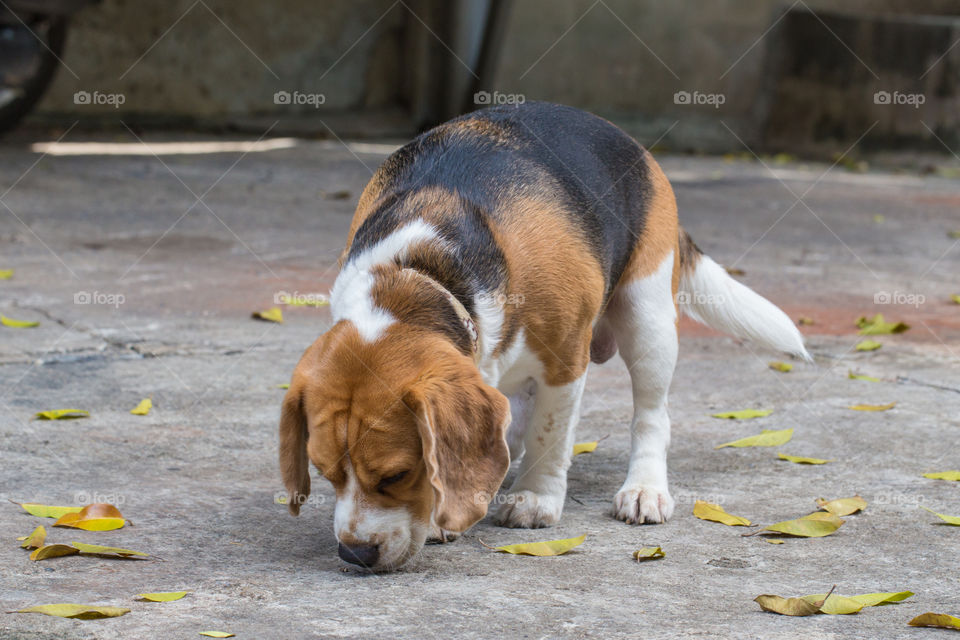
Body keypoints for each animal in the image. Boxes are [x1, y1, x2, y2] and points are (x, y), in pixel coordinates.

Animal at [280, 102, 808, 572]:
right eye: (325, 473)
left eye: (397, 475)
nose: (355, 554)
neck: (419, 274)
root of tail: (633, 144)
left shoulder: (565, 359)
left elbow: (550, 434)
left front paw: (534, 497)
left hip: (648, 318)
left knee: (652, 415)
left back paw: (644, 489)